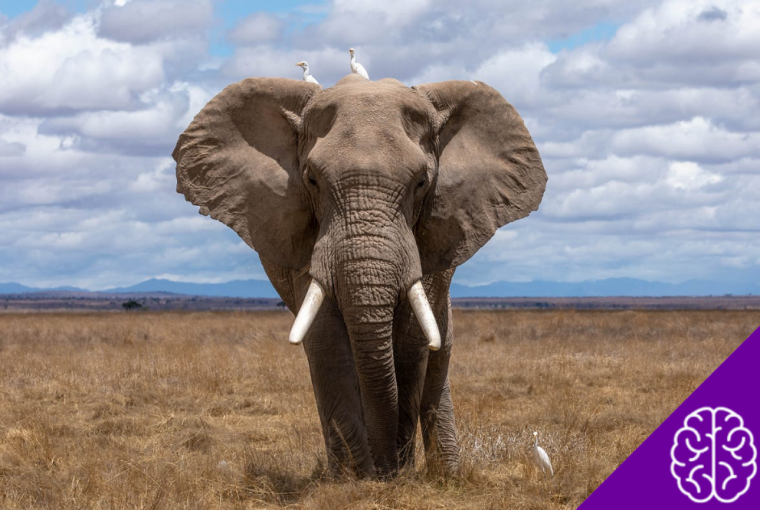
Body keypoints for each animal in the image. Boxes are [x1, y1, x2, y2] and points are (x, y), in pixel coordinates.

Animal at [172, 74, 547, 478]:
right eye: (312, 180)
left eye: (421, 183)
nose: (386, 469)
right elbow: (326, 340)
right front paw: (356, 479)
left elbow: (412, 341)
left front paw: (395, 474)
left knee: (438, 355)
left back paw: (446, 474)